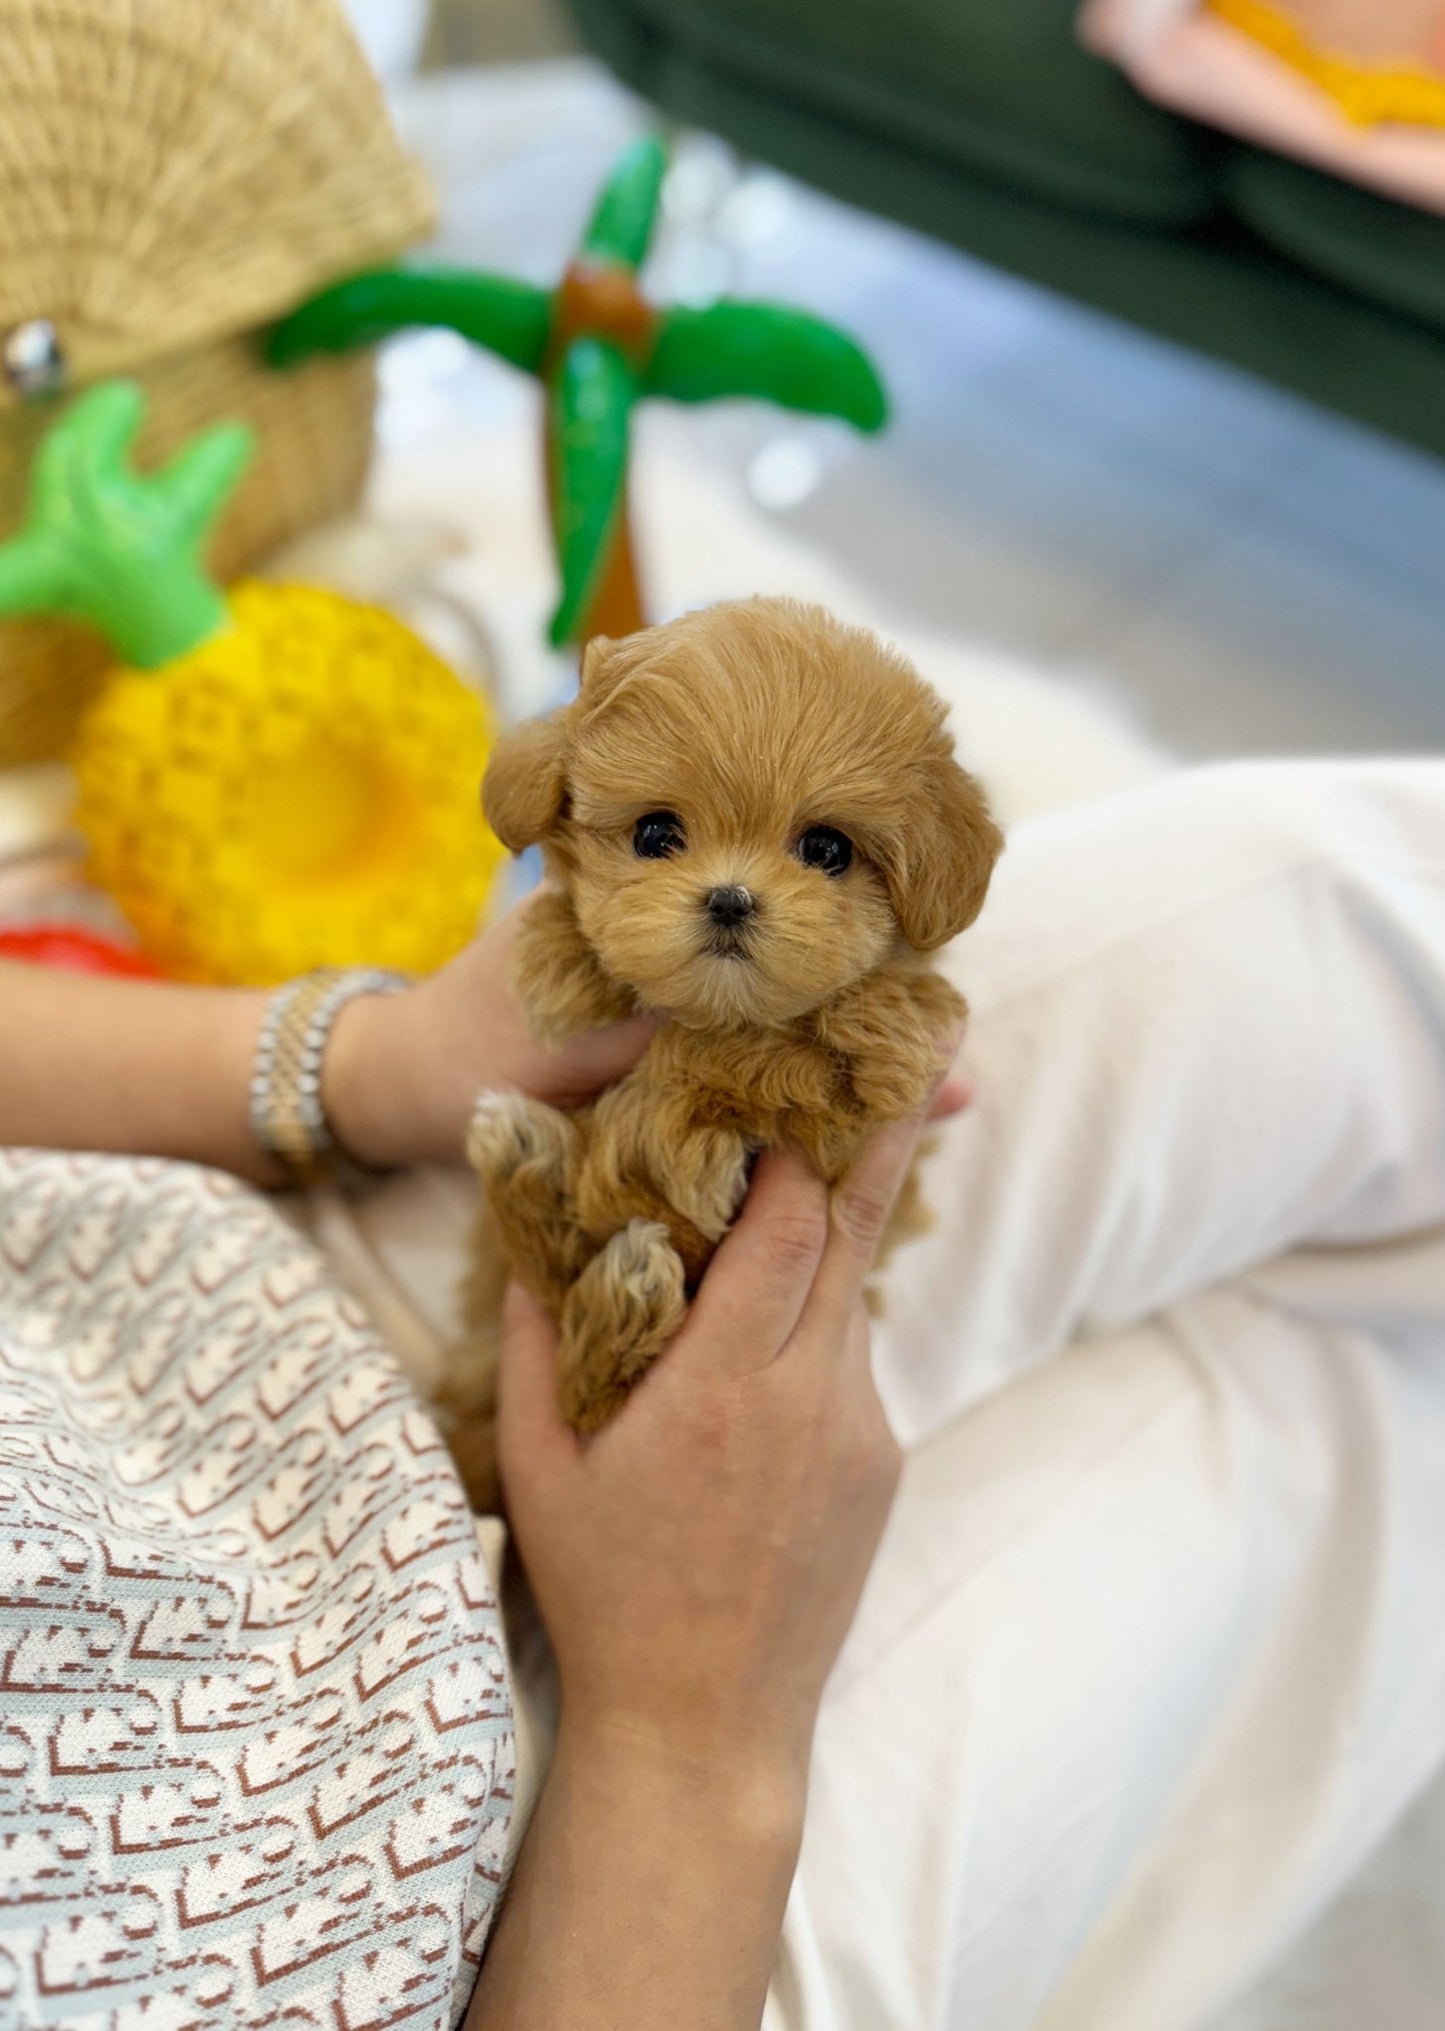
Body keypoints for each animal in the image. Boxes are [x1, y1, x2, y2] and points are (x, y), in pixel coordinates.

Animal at [441, 593, 1008, 1511]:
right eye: (654, 833)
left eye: (827, 849)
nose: (730, 899)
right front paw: (567, 964)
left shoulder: (873, 1091)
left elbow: (759, 1059)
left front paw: (660, 1123)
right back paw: (539, 1181)